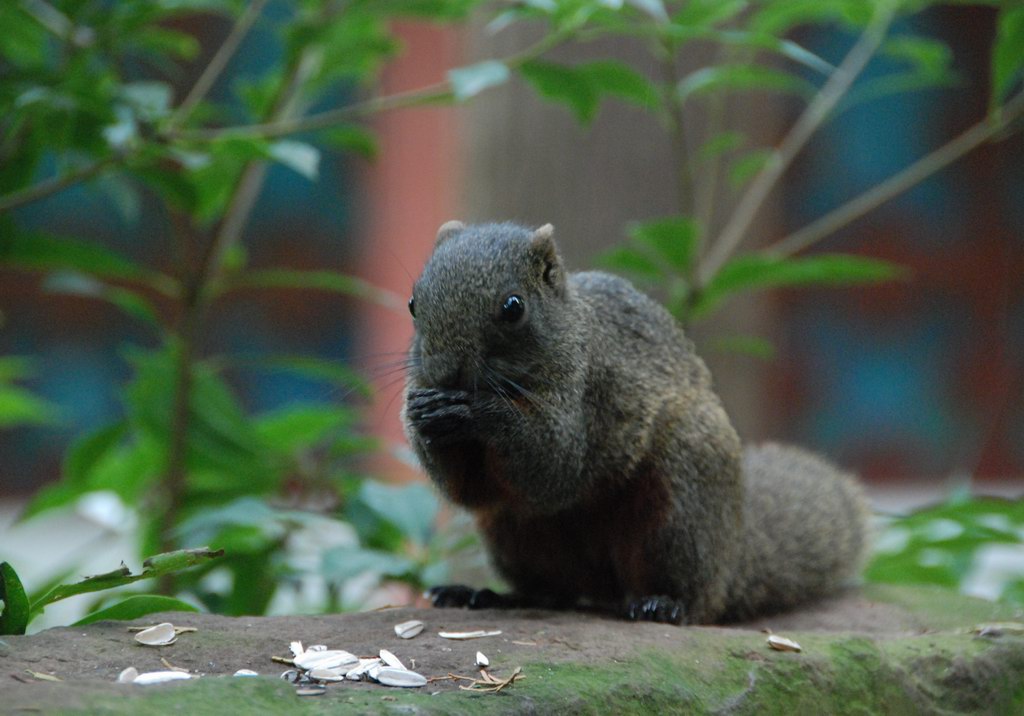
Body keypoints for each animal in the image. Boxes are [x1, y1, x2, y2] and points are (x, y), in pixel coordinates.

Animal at [403, 221, 868, 622]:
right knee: (550, 592)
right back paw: (490, 596)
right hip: (514, 533)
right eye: (412, 302)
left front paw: (475, 412)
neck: (569, 331)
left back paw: (664, 604)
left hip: (680, 501)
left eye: (513, 307)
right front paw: (422, 415)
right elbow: (471, 490)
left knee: (697, 601)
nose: (444, 372)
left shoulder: (589, 393)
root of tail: (733, 553)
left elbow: (553, 466)